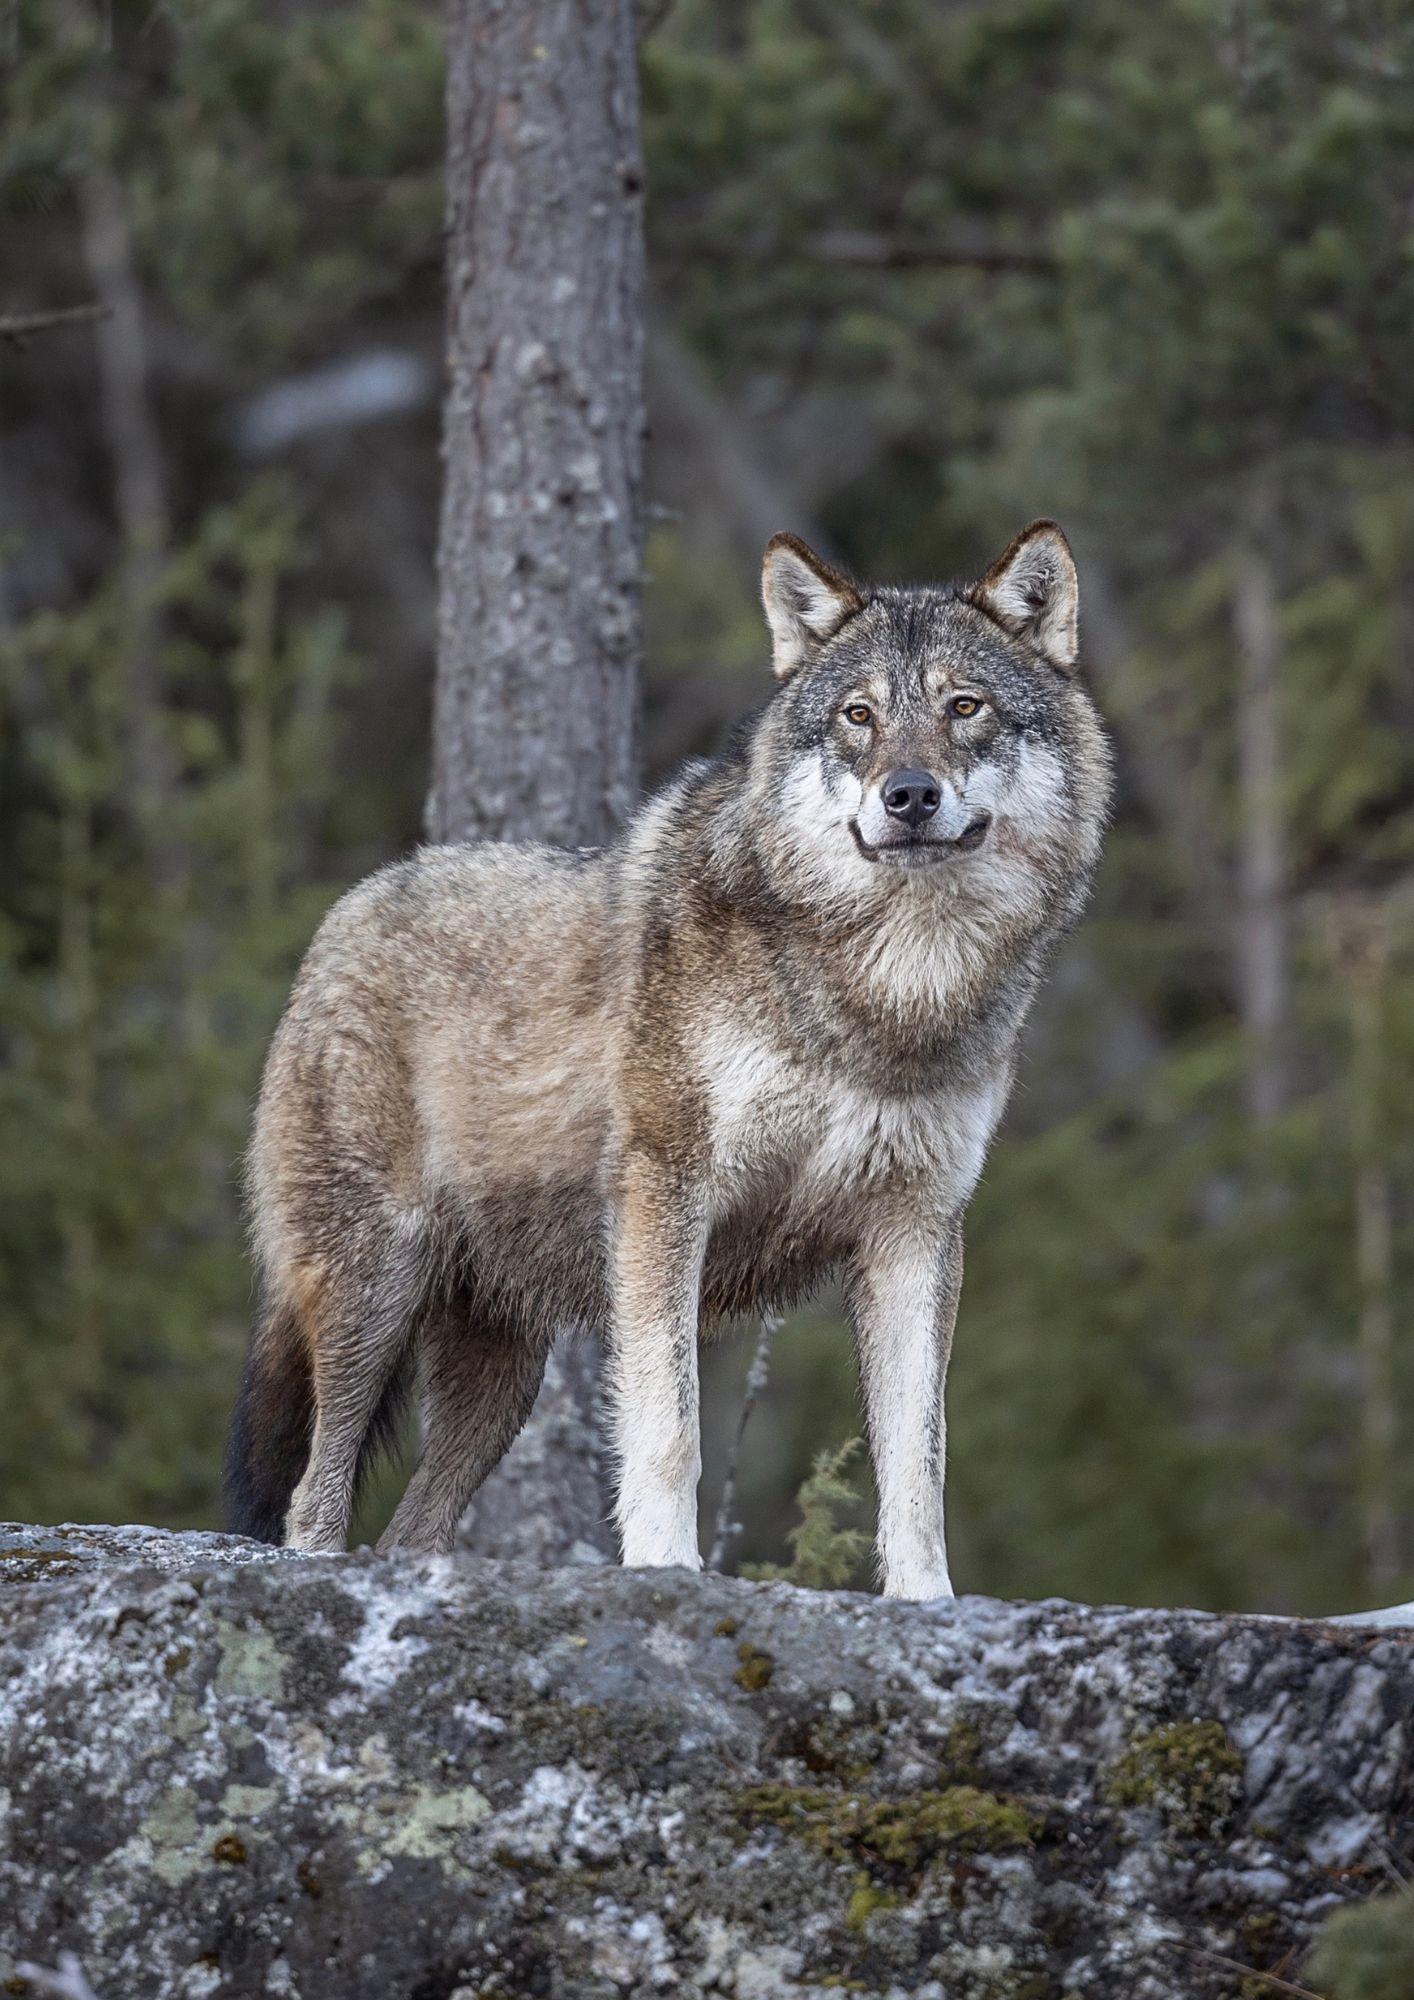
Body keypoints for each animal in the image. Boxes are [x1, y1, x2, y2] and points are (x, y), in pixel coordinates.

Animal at [226, 520, 1110, 1598]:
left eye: (964, 706)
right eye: (859, 716)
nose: (907, 795)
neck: (883, 1001)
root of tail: (343, 914)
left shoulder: (917, 1229)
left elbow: (918, 1459)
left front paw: (925, 1601)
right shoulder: (666, 1194)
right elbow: (669, 1425)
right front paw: (666, 1568)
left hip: (500, 1377)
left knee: (410, 1527)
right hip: (374, 1288)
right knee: (312, 1498)